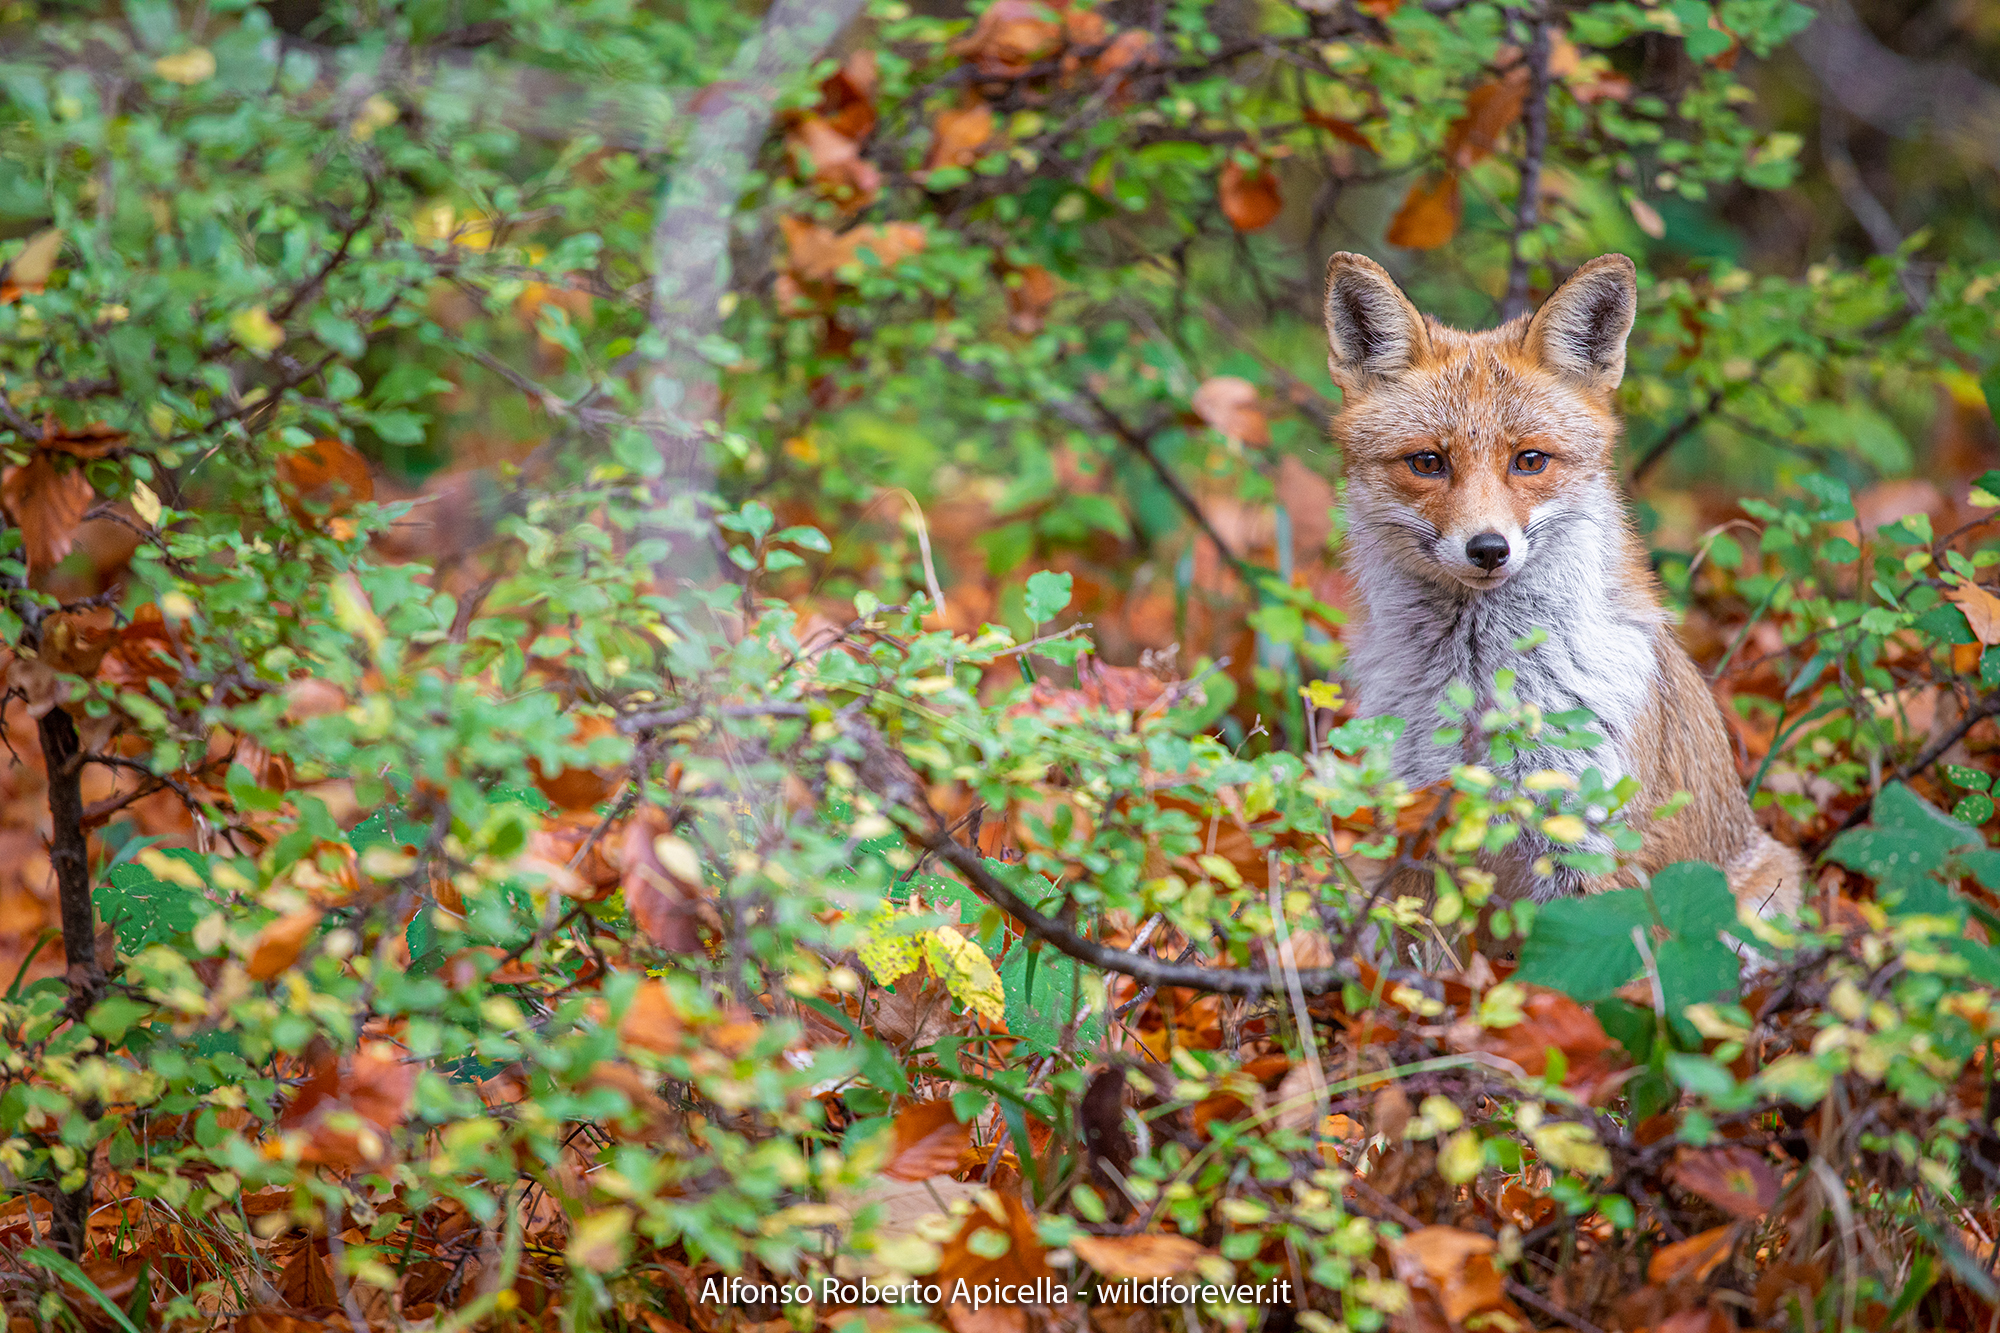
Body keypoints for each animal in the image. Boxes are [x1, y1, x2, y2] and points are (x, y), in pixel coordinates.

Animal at [1322, 250, 1802, 917]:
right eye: (1427, 462)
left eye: (1529, 460)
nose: (1488, 548)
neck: (1481, 694)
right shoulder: (1416, 831)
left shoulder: (1588, 837)